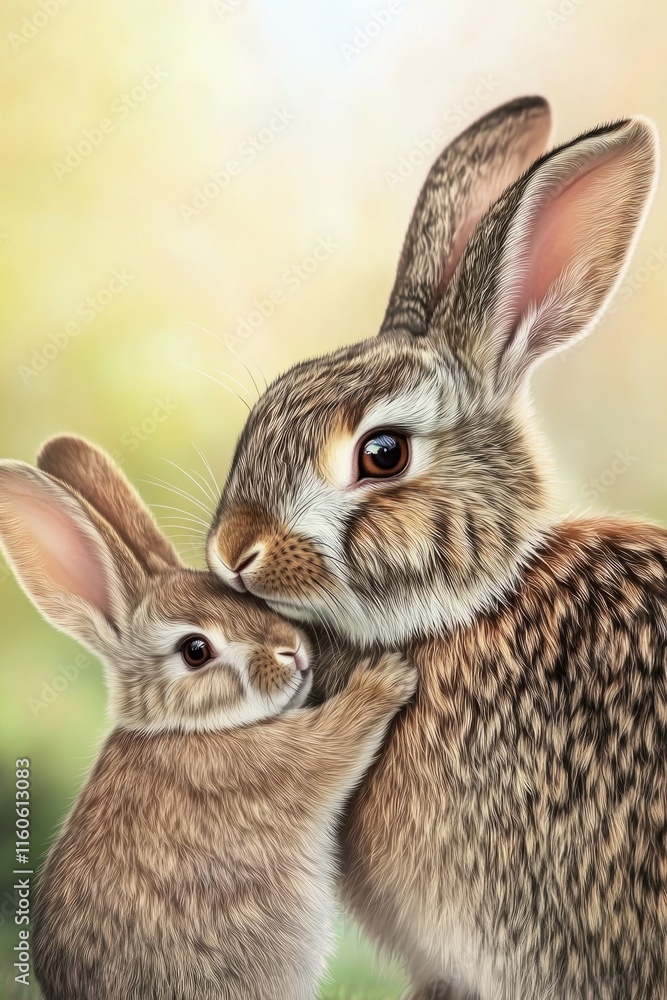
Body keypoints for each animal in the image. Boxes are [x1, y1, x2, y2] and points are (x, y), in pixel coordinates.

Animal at [0, 434, 417, 1000]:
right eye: (196, 651)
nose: (293, 652)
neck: (185, 728)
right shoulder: (272, 765)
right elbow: (336, 742)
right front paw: (387, 678)